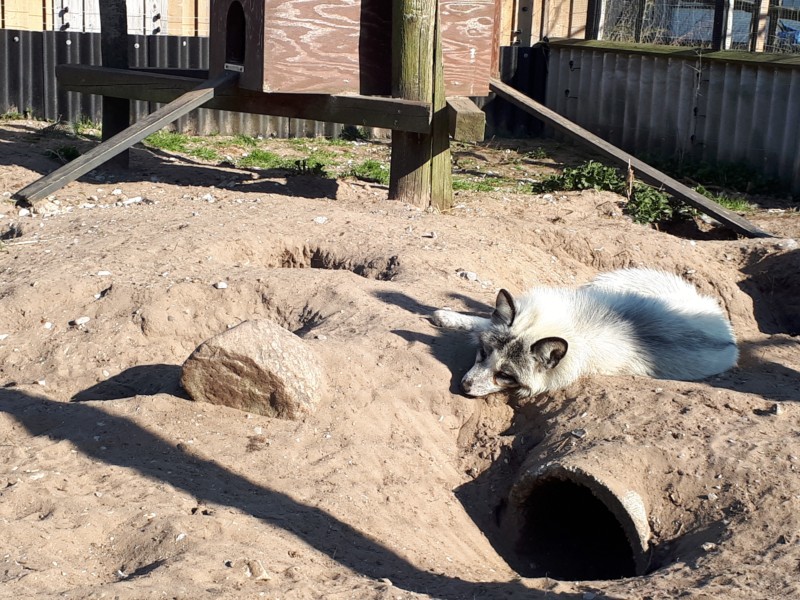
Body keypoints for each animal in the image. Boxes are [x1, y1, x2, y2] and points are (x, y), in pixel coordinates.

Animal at [432, 270, 736, 396]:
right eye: (483, 353)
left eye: (505, 376)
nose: (464, 386)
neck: (573, 325)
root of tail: (729, 337)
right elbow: (482, 321)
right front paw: (450, 316)